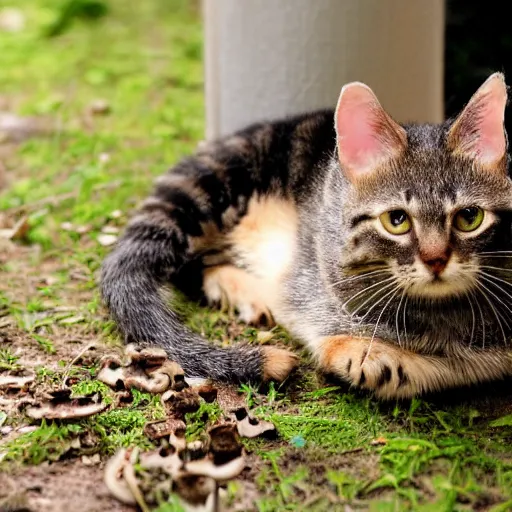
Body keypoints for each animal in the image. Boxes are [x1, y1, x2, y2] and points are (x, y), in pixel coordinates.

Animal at [100, 73, 512, 400]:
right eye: (396, 220)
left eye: (469, 218)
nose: (436, 259)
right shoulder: (308, 283)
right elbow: (323, 325)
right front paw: (363, 351)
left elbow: (464, 368)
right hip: (209, 191)